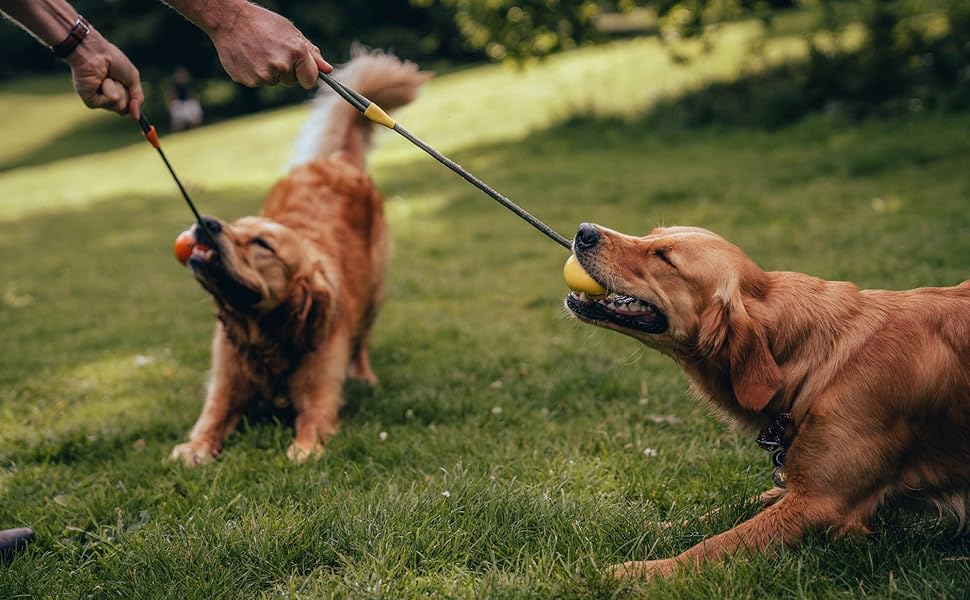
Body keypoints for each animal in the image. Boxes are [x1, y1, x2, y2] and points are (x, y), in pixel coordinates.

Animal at [168, 51, 430, 464]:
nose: (206, 222)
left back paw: (366, 376)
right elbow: (211, 418)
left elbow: (310, 426)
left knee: (363, 341)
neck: (264, 333)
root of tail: (338, 161)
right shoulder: (225, 380)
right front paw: (195, 448)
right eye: (235, 226)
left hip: (374, 292)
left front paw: (301, 450)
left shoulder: (320, 392)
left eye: (262, 244)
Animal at [560, 223, 968, 580]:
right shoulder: (795, 486)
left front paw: (641, 571)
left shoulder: (821, 501)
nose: (584, 231)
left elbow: (716, 544)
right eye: (651, 235)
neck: (819, 359)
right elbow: (723, 511)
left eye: (664, 257)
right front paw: (658, 526)